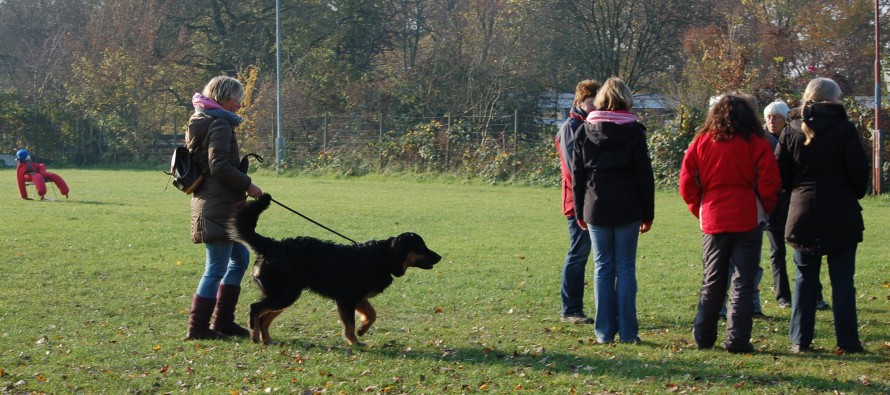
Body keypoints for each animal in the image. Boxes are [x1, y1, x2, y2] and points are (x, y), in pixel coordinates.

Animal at [229, 195, 438, 346]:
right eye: (421, 247)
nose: (439, 257)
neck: (382, 257)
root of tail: (272, 245)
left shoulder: (357, 298)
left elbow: (372, 314)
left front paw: (362, 330)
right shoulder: (347, 299)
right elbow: (349, 324)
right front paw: (354, 341)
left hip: (286, 295)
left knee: (264, 318)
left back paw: (267, 339)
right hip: (285, 294)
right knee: (255, 309)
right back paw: (255, 336)